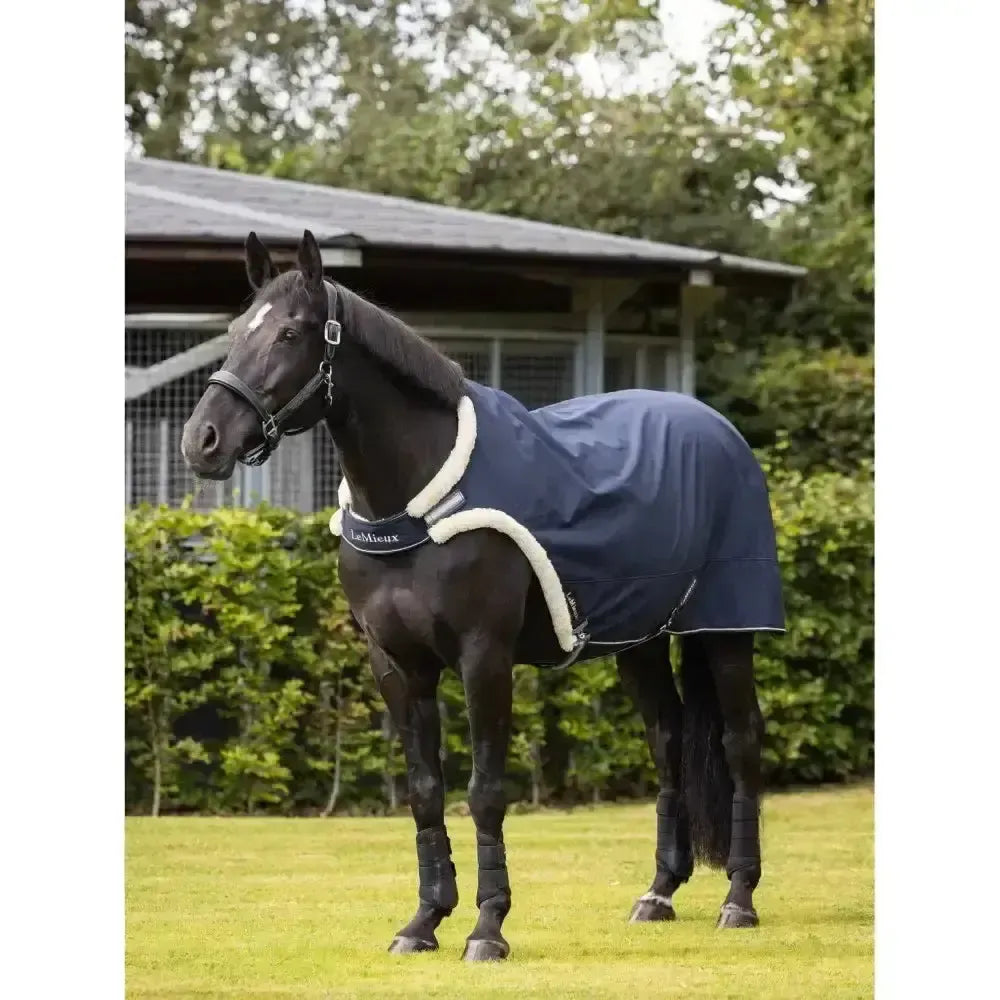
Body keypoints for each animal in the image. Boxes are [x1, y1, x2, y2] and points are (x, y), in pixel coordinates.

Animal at [181, 229, 784, 962]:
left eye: (290, 333)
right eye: (236, 330)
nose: (202, 441)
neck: (418, 504)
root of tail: (717, 429)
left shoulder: (483, 657)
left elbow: (486, 791)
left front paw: (488, 928)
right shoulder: (397, 664)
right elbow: (423, 790)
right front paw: (422, 921)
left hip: (725, 629)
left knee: (740, 741)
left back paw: (740, 899)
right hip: (637, 640)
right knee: (667, 738)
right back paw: (659, 893)